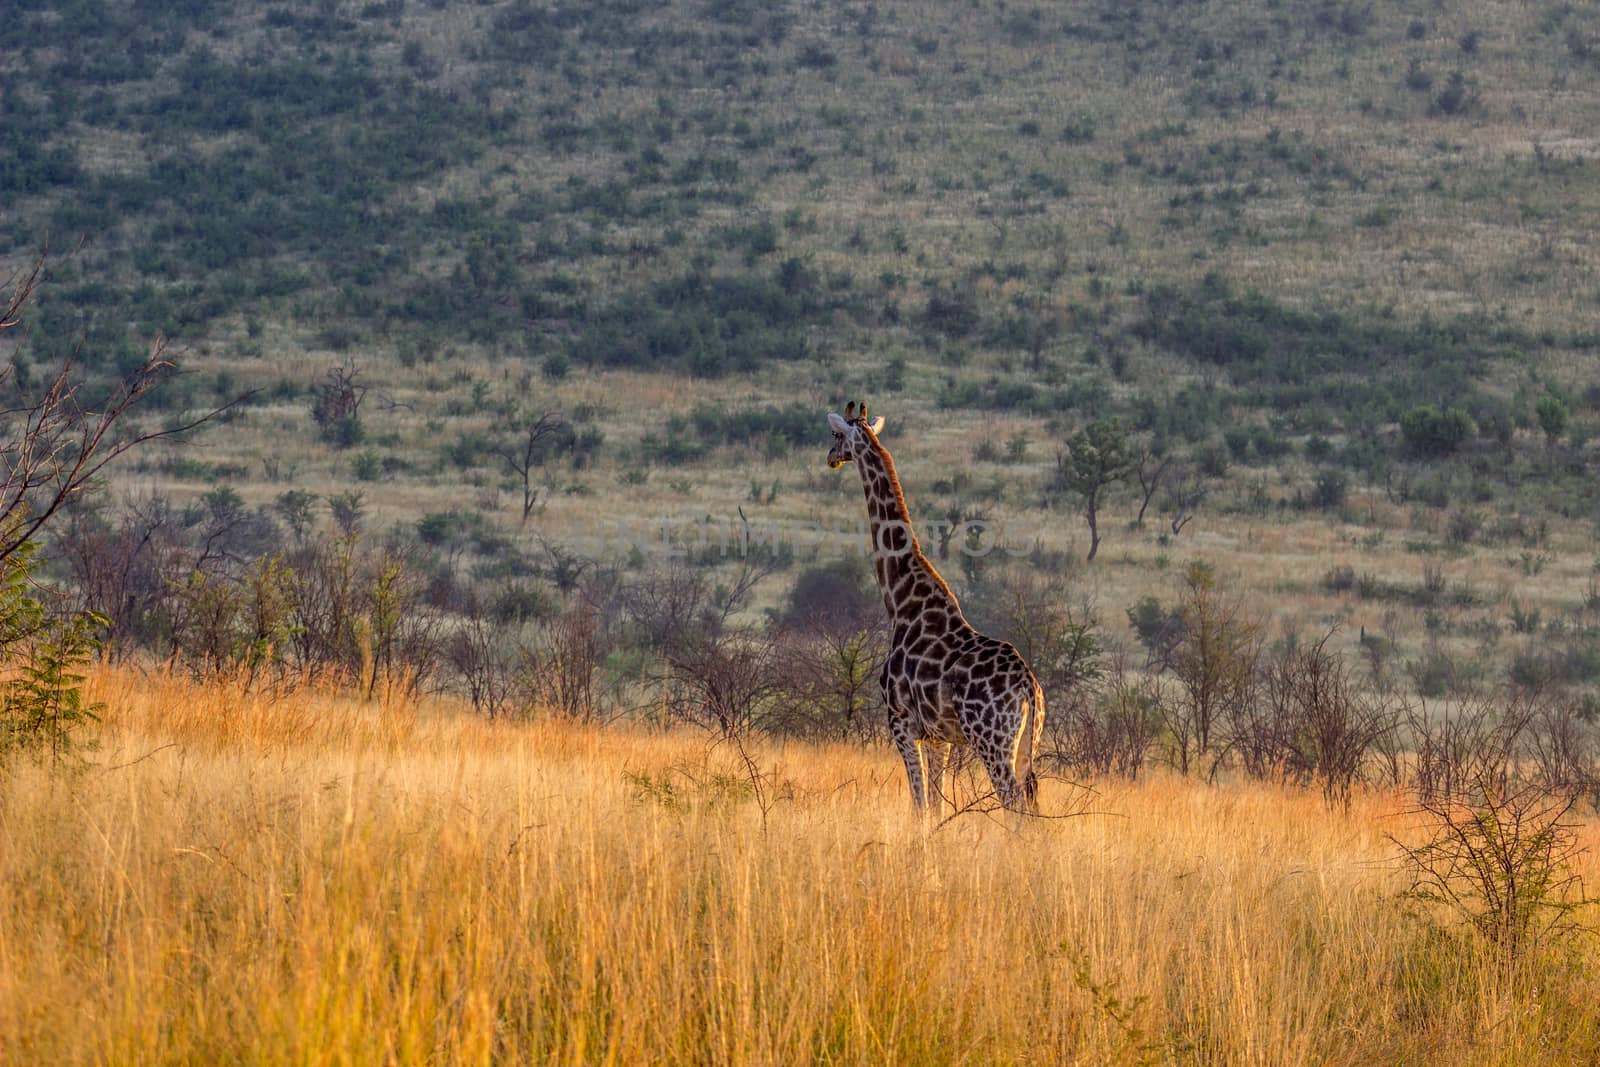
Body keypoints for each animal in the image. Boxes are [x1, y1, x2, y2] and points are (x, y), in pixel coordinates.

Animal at [825, 403, 1049, 819]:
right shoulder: (938, 736)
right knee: (1031, 802)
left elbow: (920, 805)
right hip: (1030, 741)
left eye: (834, 435)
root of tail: (1029, 686)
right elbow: (936, 804)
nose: (830, 458)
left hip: (991, 739)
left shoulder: (900, 722)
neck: (901, 601)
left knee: (1013, 803)